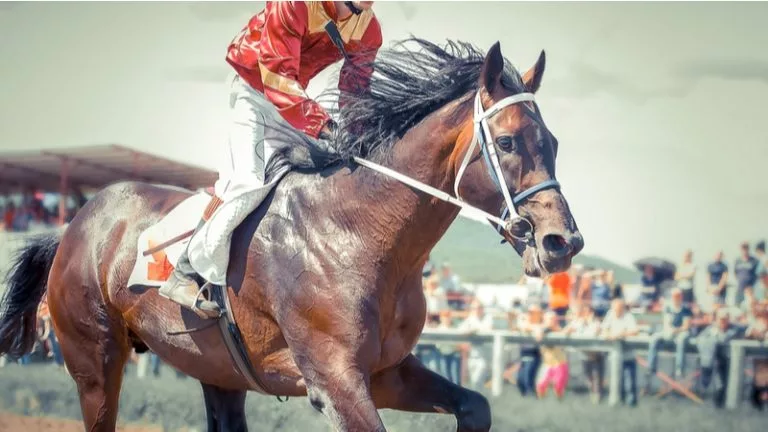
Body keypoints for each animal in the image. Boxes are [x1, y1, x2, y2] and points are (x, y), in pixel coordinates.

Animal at [0, 38, 583, 432]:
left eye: (553, 142)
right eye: (507, 143)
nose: (562, 242)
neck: (358, 233)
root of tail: (74, 225)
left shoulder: (386, 372)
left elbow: (476, 405)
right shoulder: (334, 379)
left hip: (217, 371)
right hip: (94, 361)